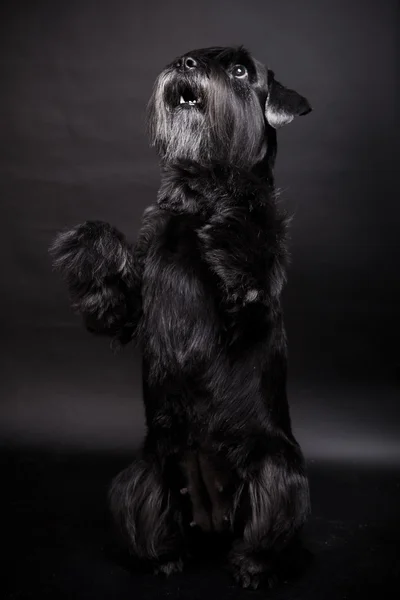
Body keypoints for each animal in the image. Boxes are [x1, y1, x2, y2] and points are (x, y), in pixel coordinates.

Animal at [50, 47, 312, 592]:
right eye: (198, 55)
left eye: (241, 70)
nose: (188, 63)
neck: (197, 199)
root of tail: (215, 519)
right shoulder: (133, 309)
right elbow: (114, 300)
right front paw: (89, 247)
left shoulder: (247, 308)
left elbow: (248, 255)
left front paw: (234, 209)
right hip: (142, 475)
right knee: (153, 523)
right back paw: (163, 558)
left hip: (280, 472)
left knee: (265, 530)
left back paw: (256, 566)